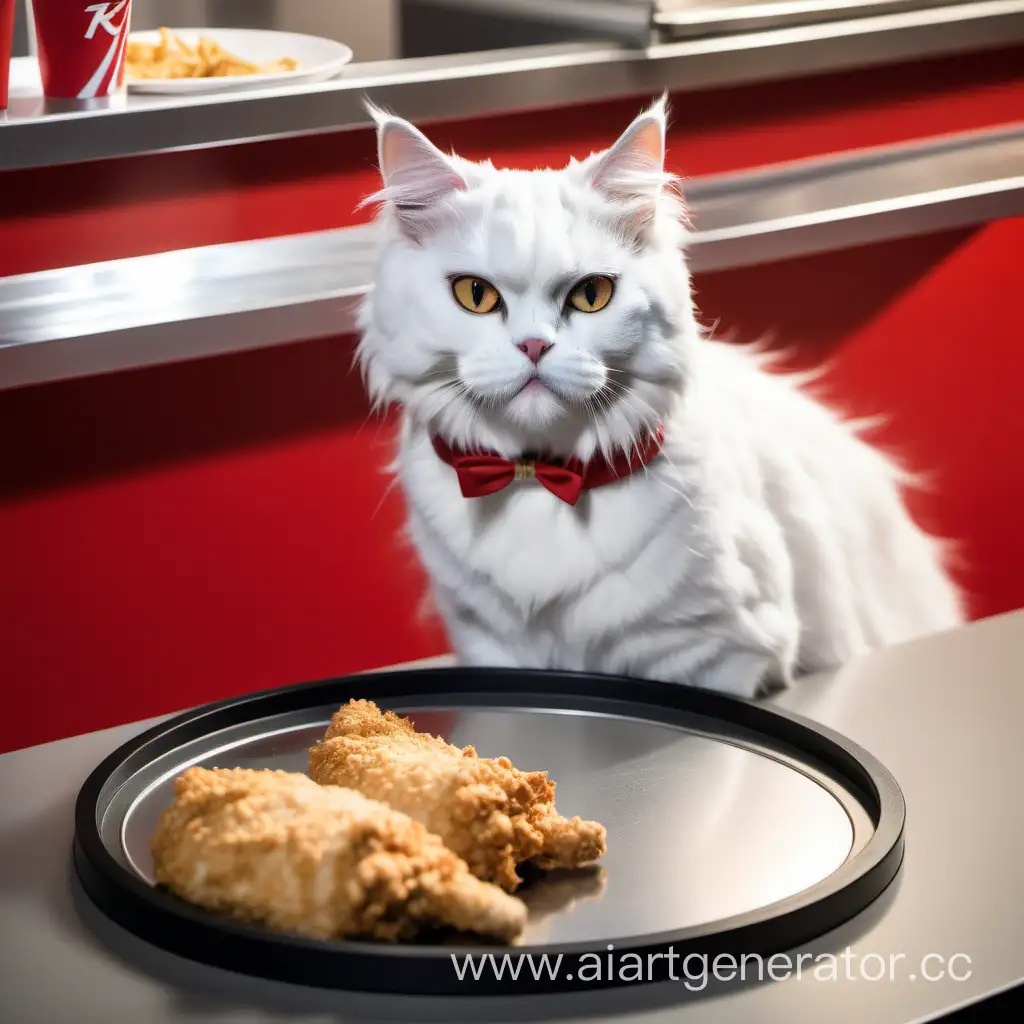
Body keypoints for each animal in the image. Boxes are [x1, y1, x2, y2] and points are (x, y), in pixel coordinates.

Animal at [356, 96, 962, 696]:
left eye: (591, 295)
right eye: (475, 295)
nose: (534, 345)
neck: (539, 481)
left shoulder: (715, 652)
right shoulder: (488, 645)